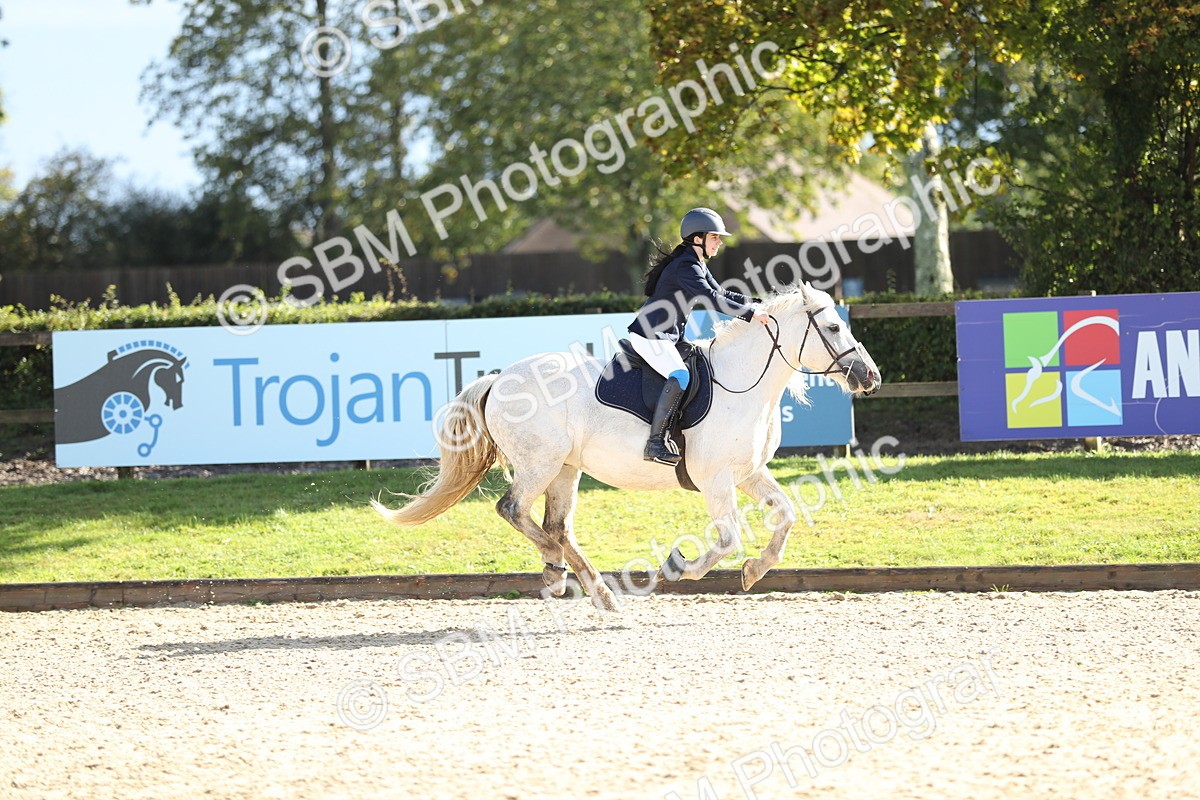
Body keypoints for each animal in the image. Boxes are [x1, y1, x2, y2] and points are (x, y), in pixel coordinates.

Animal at [373, 282, 881, 610]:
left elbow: (786, 516)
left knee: (557, 526)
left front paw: (755, 570)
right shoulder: (716, 479)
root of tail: (499, 378)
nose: (870, 376)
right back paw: (555, 570)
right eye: (833, 328)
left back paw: (594, 591)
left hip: (565, 469)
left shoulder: (748, 473)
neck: (742, 383)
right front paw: (679, 566)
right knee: (514, 510)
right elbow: (728, 537)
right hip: (539, 463)